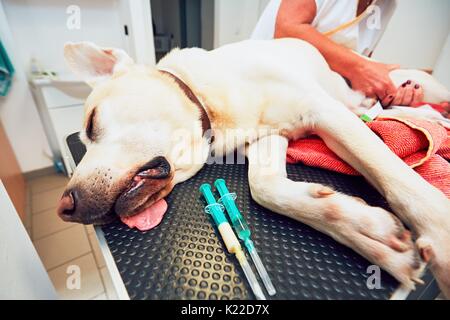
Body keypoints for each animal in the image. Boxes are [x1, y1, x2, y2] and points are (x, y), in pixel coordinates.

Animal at [59, 40, 450, 298]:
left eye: (91, 122)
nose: (65, 208)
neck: (207, 98)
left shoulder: (320, 110)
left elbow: (393, 174)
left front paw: (440, 237)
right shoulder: (267, 139)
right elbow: (266, 188)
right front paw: (367, 231)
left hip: (357, 94)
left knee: (376, 106)